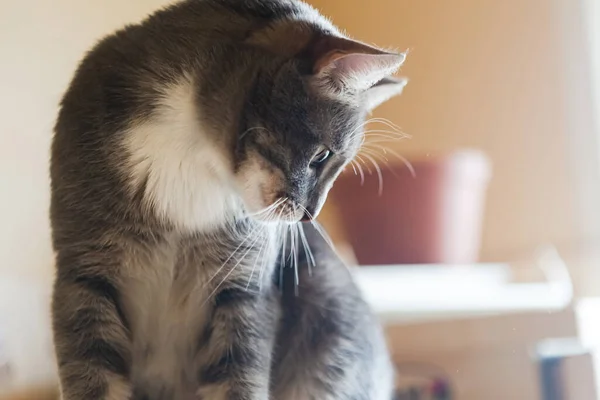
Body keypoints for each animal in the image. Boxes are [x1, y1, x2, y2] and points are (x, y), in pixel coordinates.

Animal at [50, 0, 408, 400]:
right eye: (321, 157)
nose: (309, 216)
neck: (193, 157)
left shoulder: (243, 292)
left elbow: (239, 374)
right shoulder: (84, 275)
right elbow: (92, 374)